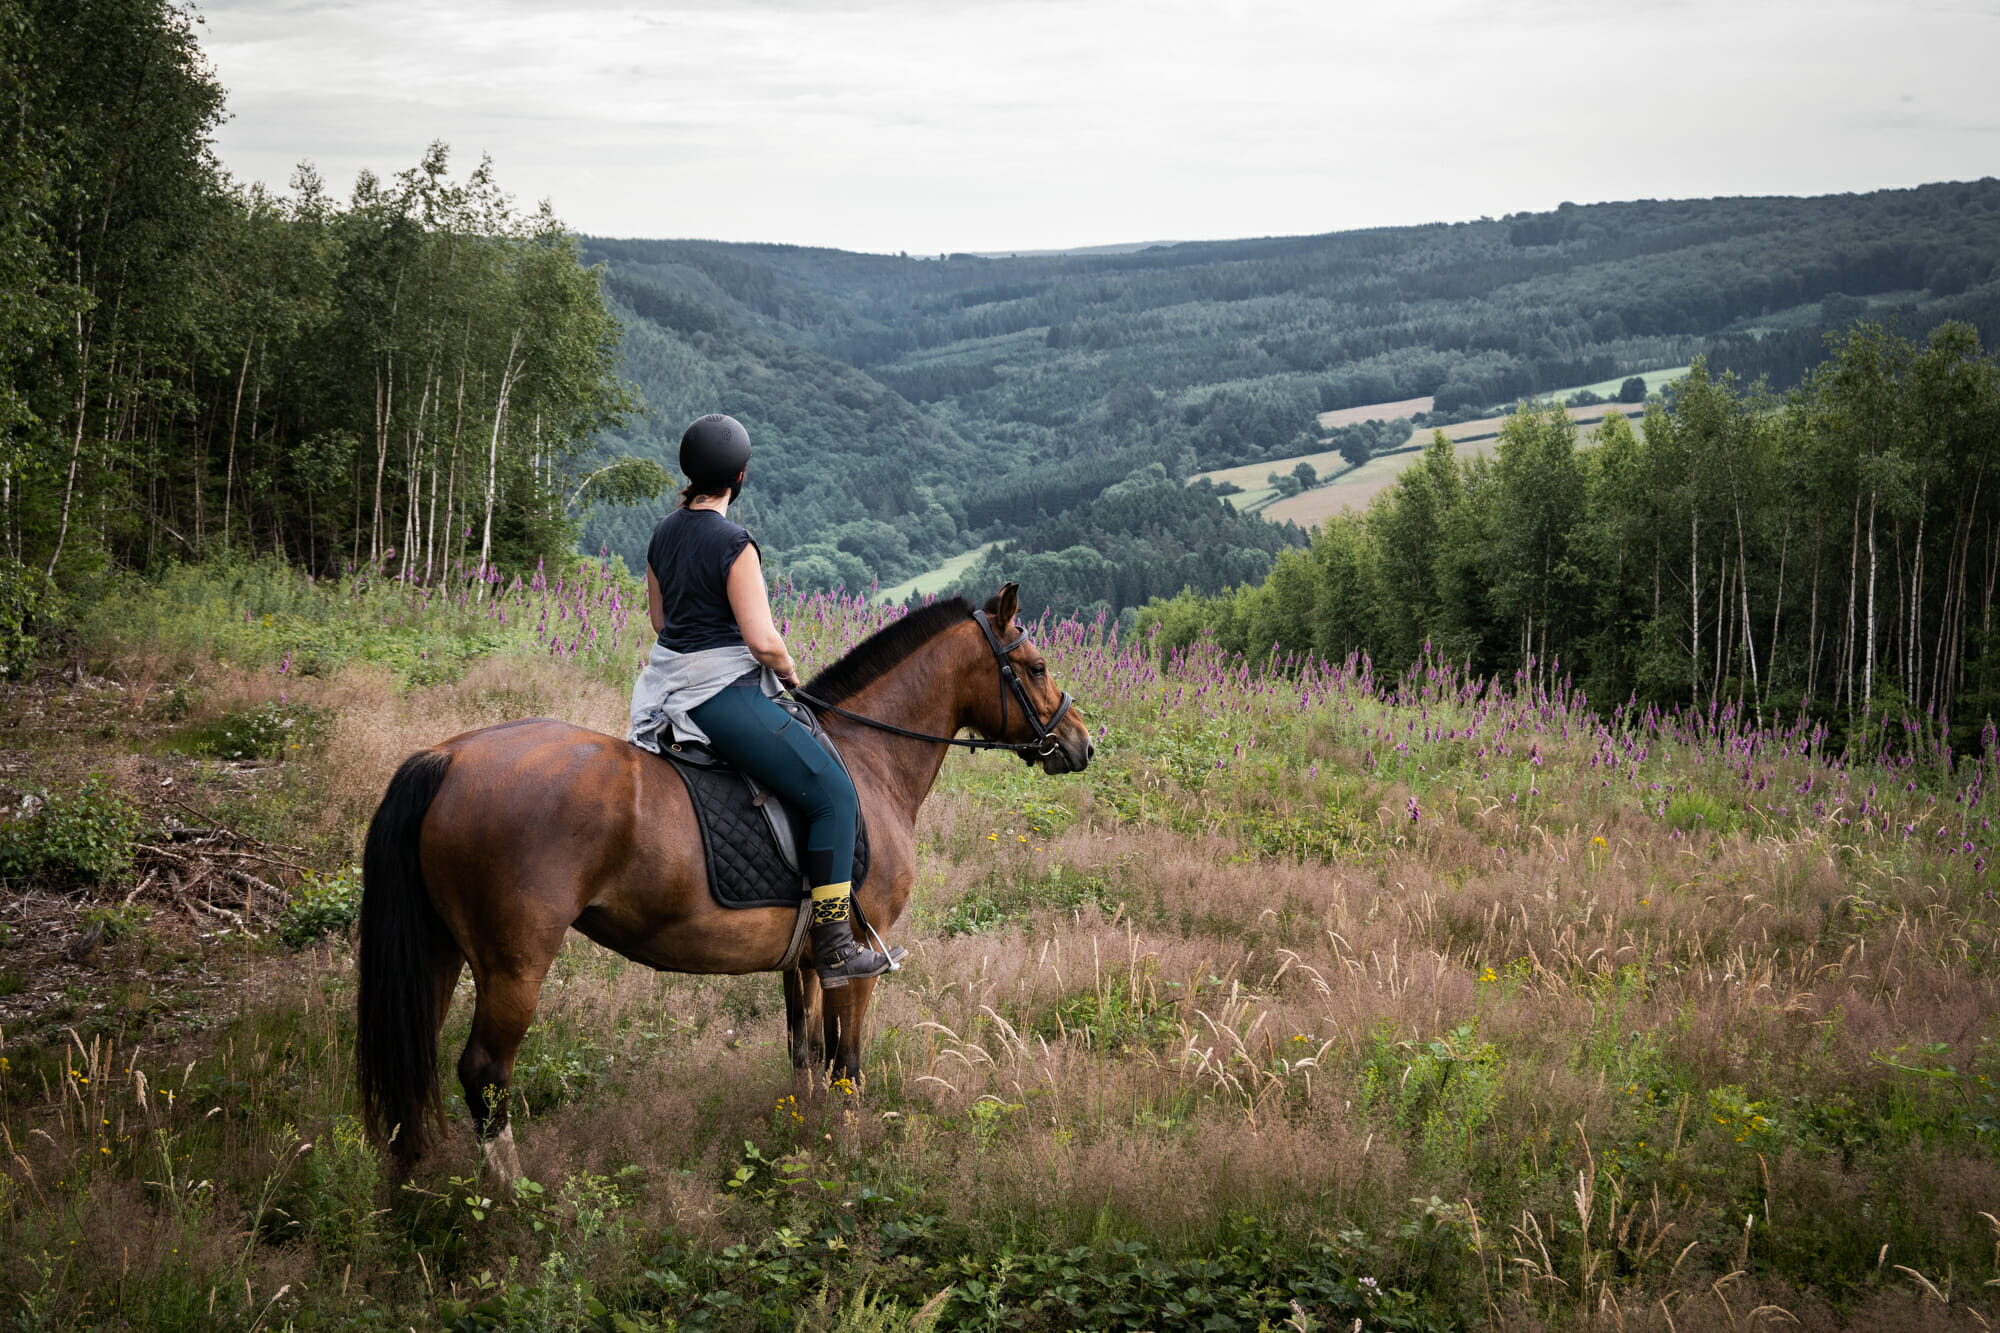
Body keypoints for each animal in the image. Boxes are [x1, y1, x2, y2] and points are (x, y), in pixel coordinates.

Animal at [352, 580, 1088, 1176]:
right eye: (1037, 666)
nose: (1081, 743)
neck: (869, 759)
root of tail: (447, 758)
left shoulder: (806, 962)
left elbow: (805, 1056)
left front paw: (805, 1143)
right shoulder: (859, 958)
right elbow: (846, 1066)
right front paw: (849, 1158)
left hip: (442, 951)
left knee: (416, 1061)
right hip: (515, 964)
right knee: (483, 1074)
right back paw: (513, 1200)